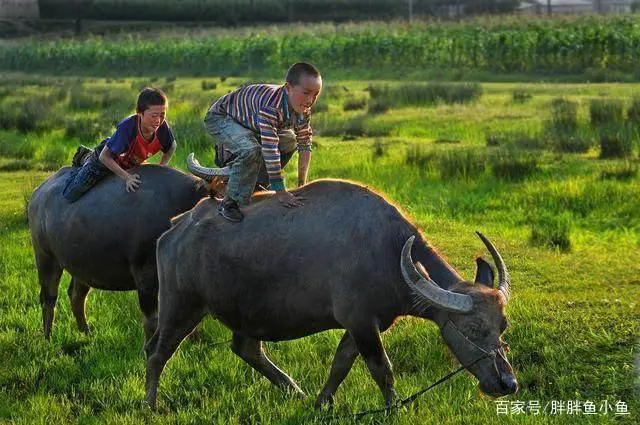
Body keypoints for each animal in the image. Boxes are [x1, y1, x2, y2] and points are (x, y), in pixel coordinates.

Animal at [28, 164, 225, 340]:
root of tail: (38, 193)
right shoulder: (145, 274)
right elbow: (152, 321)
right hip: (45, 257)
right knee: (48, 297)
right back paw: (48, 338)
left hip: (81, 263)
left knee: (76, 295)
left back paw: (87, 333)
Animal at [146, 178, 520, 408]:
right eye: (473, 328)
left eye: (502, 327)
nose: (507, 383)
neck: (387, 250)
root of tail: (175, 228)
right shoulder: (361, 322)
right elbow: (382, 369)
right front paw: (394, 407)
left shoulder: (363, 325)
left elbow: (340, 364)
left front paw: (321, 401)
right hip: (182, 306)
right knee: (157, 352)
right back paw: (151, 405)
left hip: (246, 313)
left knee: (246, 349)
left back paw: (295, 392)